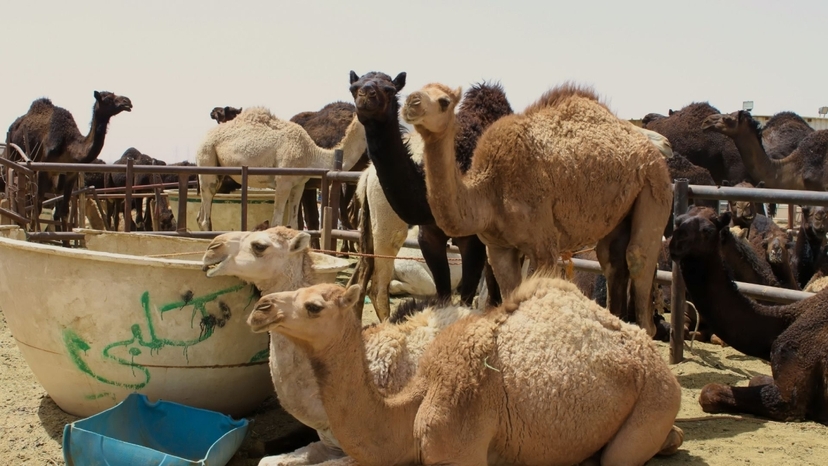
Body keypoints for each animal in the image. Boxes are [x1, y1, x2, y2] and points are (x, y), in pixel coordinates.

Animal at [5, 91, 132, 226]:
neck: (69, 145)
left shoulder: (71, 173)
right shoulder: (43, 169)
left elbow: (64, 211)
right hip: (15, 157)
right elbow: (37, 207)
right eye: (107, 99)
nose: (127, 102)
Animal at [195, 107, 367, 231]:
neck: (310, 153)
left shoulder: (299, 185)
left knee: (201, 214)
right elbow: (276, 223)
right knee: (205, 214)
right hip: (207, 157)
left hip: (217, 170)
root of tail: (203, 138)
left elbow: (295, 224)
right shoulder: (283, 182)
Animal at [349, 71, 509, 310]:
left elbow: (465, 296)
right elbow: (443, 294)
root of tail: (366, 176)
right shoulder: (429, 236)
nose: (366, 95)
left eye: (389, 89)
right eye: (353, 87)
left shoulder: (473, 239)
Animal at [403, 82, 672, 336]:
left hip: (655, 184)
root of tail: (656, 150)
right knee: (611, 258)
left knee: (637, 256)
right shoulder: (498, 248)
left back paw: (647, 328)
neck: (489, 190)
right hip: (619, 212)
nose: (411, 103)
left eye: (444, 101)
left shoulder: (543, 244)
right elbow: (510, 293)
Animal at [670, 207, 828, 423]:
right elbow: (754, 378)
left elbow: (709, 391)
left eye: (708, 230)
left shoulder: (788, 397)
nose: (675, 243)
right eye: (678, 221)